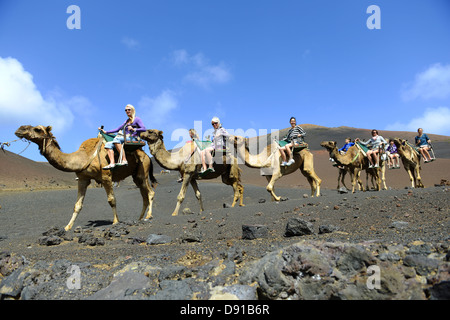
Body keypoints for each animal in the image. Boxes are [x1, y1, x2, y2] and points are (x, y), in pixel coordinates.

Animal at [14, 124, 158, 230]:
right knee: (144, 195)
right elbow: (77, 205)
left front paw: (115, 222)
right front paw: (67, 227)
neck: (84, 156)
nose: (19, 129)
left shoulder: (106, 176)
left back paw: (149, 216)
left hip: (143, 171)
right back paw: (140, 218)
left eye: (37, 129)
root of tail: (147, 156)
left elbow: (111, 200)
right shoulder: (83, 178)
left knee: (150, 192)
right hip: (136, 176)